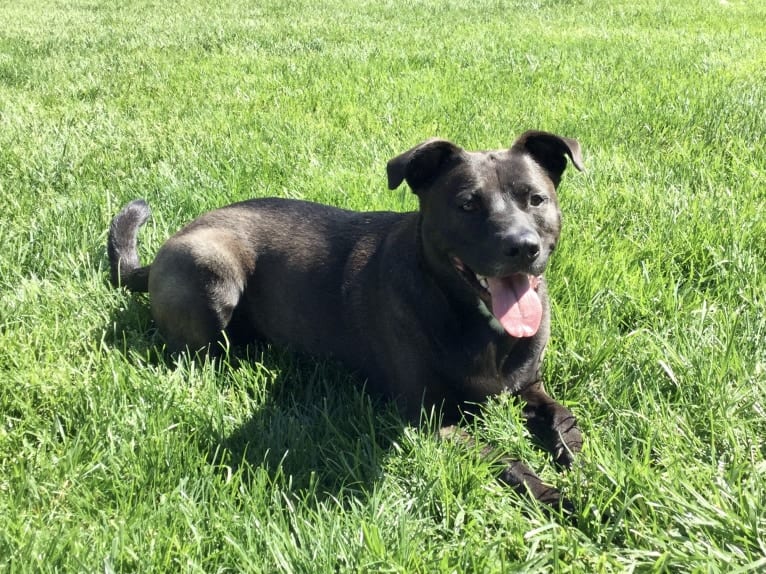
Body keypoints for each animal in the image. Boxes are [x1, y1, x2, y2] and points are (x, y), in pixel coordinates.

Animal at [108, 132, 584, 512]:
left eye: (535, 199)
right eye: (467, 204)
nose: (522, 247)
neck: (472, 317)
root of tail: (157, 255)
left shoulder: (529, 386)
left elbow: (565, 420)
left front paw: (583, 465)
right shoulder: (431, 418)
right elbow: (504, 459)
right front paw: (552, 495)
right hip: (211, 268)